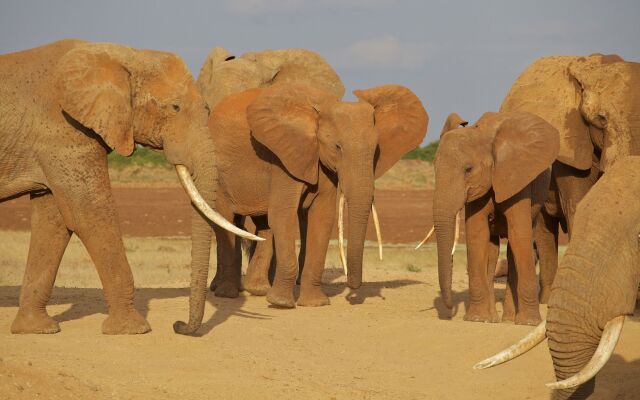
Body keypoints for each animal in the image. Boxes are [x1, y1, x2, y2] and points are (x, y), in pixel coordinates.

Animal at [1, 39, 260, 334]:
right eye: (174, 107)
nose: (178, 325)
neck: (122, 55)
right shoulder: (63, 132)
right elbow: (88, 216)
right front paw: (132, 329)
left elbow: (53, 222)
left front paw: (37, 328)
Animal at [172, 80, 428, 332]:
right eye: (337, 147)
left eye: (376, 151)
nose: (354, 291)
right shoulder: (284, 158)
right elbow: (283, 214)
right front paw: (281, 304)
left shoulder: (318, 161)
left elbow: (322, 217)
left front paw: (314, 304)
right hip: (219, 174)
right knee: (228, 218)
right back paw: (227, 293)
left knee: (263, 225)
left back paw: (258, 290)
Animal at [432, 110, 556, 324]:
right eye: (434, 166)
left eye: (468, 169)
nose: (448, 312)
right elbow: (477, 235)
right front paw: (476, 319)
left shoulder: (516, 178)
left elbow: (519, 236)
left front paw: (529, 323)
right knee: (492, 248)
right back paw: (493, 319)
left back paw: (509, 319)